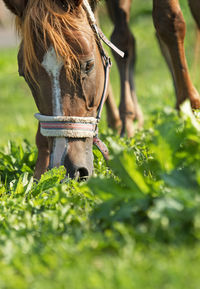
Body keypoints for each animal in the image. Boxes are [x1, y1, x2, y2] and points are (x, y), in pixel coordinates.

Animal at [1, 0, 200, 179]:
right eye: (25, 75)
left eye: (88, 65)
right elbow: (120, 38)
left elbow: (168, 21)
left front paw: (190, 115)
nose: (67, 167)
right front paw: (42, 167)